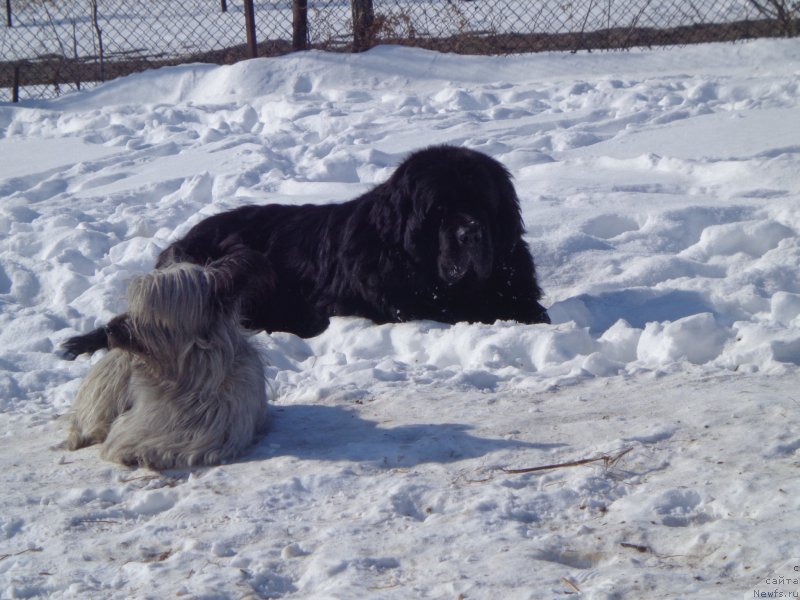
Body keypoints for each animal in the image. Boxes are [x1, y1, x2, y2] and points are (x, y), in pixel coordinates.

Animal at [62, 146, 552, 356]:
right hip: (239, 261)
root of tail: (179, 242)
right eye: (440, 211)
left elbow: (533, 312)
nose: (471, 233)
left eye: (482, 205)